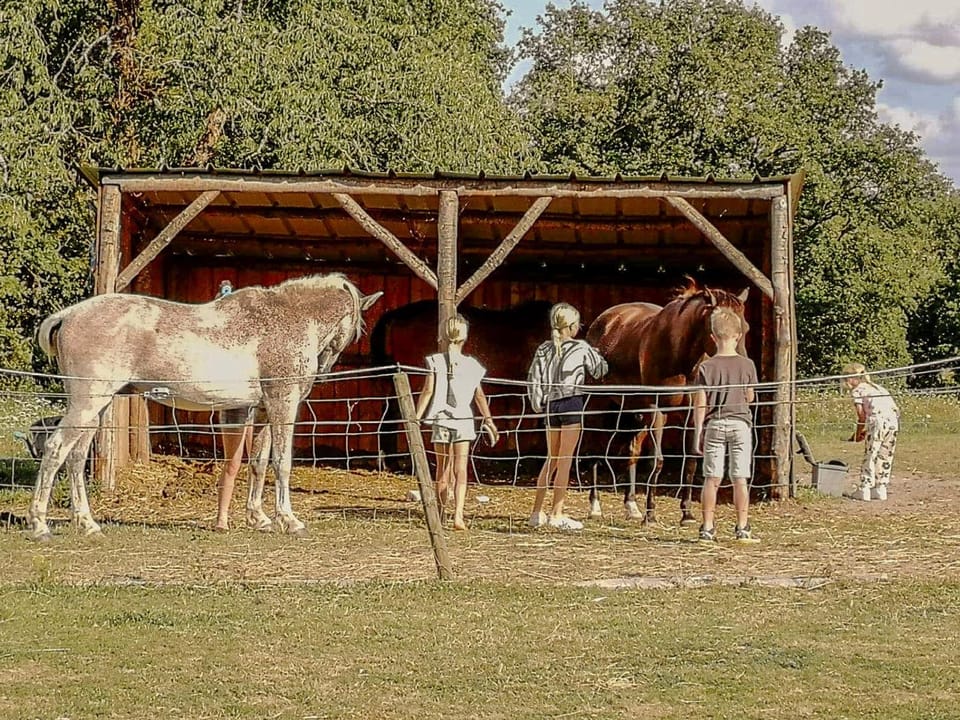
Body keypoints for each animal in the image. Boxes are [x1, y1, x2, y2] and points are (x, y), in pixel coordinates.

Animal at [27, 273, 382, 541]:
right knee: (56, 450)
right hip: (88, 403)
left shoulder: (263, 410)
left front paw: (259, 518)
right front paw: (289, 520)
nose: (323, 370)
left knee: (75, 457)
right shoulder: (283, 403)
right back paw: (40, 525)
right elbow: (281, 463)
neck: (286, 319)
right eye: (356, 330)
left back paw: (88, 524)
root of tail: (67, 316)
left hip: (96, 410)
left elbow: (259, 463)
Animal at [584, 277, 749, 524]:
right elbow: (657, 460)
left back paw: (631, 506)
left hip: (634, 412)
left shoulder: (692, 415)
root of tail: (603, 321)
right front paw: (651, 515)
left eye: (745, 328)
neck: (679, 354)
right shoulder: (657, 410)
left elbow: (690, 461)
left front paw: (687, 513)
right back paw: (596, 506)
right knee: (596, 450)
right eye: (717, 331)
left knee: (631, 451)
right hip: (600, 405)